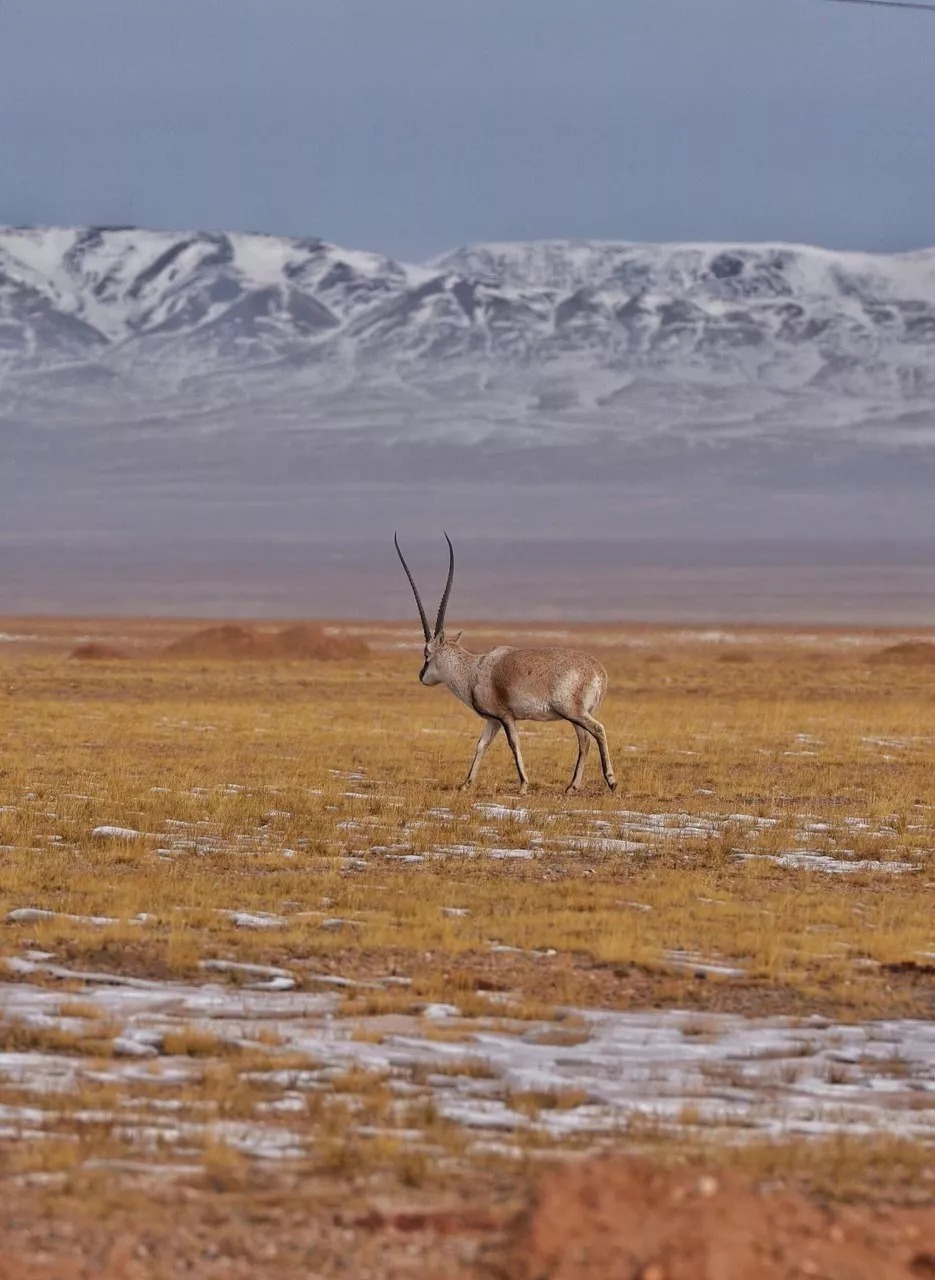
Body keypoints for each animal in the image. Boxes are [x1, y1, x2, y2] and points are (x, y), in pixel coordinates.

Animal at [391, 532, 614, 793]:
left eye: (427, 653)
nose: (421, 676)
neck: (473, 670)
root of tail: (599, 671)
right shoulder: (492, 720)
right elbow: (481, 745)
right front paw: (466, 784)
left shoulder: (506, 716)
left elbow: (514, 744)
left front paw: (524, 785)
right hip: (577, 715)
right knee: (584, 739)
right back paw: (572, 787)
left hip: (573, 711)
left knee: (597, 730)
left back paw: (611, 781)